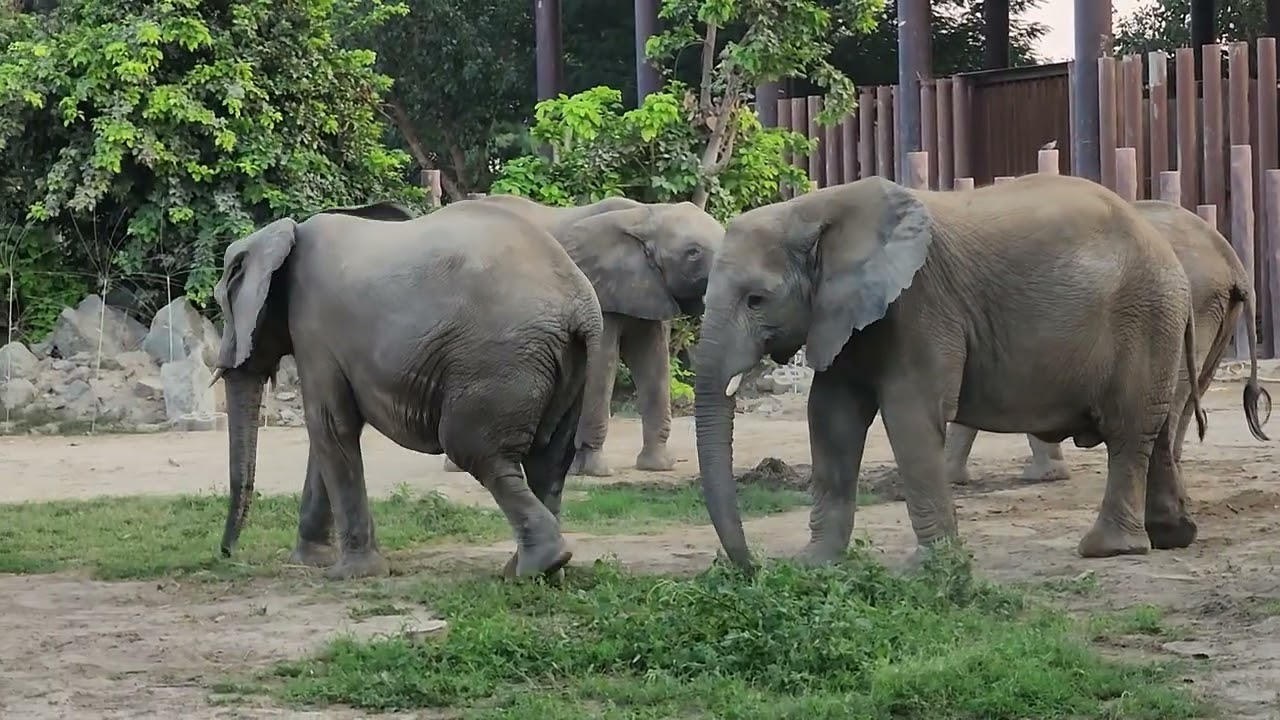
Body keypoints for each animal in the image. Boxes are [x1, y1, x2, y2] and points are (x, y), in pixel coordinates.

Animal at [210, 200, 604, 580]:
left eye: (222, 305)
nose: (227, 554)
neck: (286, 233)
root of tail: (581, 305)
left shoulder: (313, 327)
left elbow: (329, 425)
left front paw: (350, 574)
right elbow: (327, 433)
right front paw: (311, 563)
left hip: (499, 360)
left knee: (475, 449)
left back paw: (539, 565)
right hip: (569, 364)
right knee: (547, 463)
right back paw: (534, 570)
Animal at [432, 193, 724, 476]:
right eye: (693, 253)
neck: (644, 214)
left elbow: (653, 360)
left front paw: (658, 466)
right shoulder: (598, 288)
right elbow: (602, 362)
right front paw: (593, 471)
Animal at [692, 173, 1211, 573]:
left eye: (756, 299)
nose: (753, 568)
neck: (813, 210)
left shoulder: (919, 304)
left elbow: (909, 415)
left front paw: (927, 571)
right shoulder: (842, 316)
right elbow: (830, 418)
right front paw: (813, 564)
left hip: (1143, 317)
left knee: (1128, 431)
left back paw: (1107, 549)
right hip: (1156, 322)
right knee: (1157, 429)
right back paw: (1171, 536)